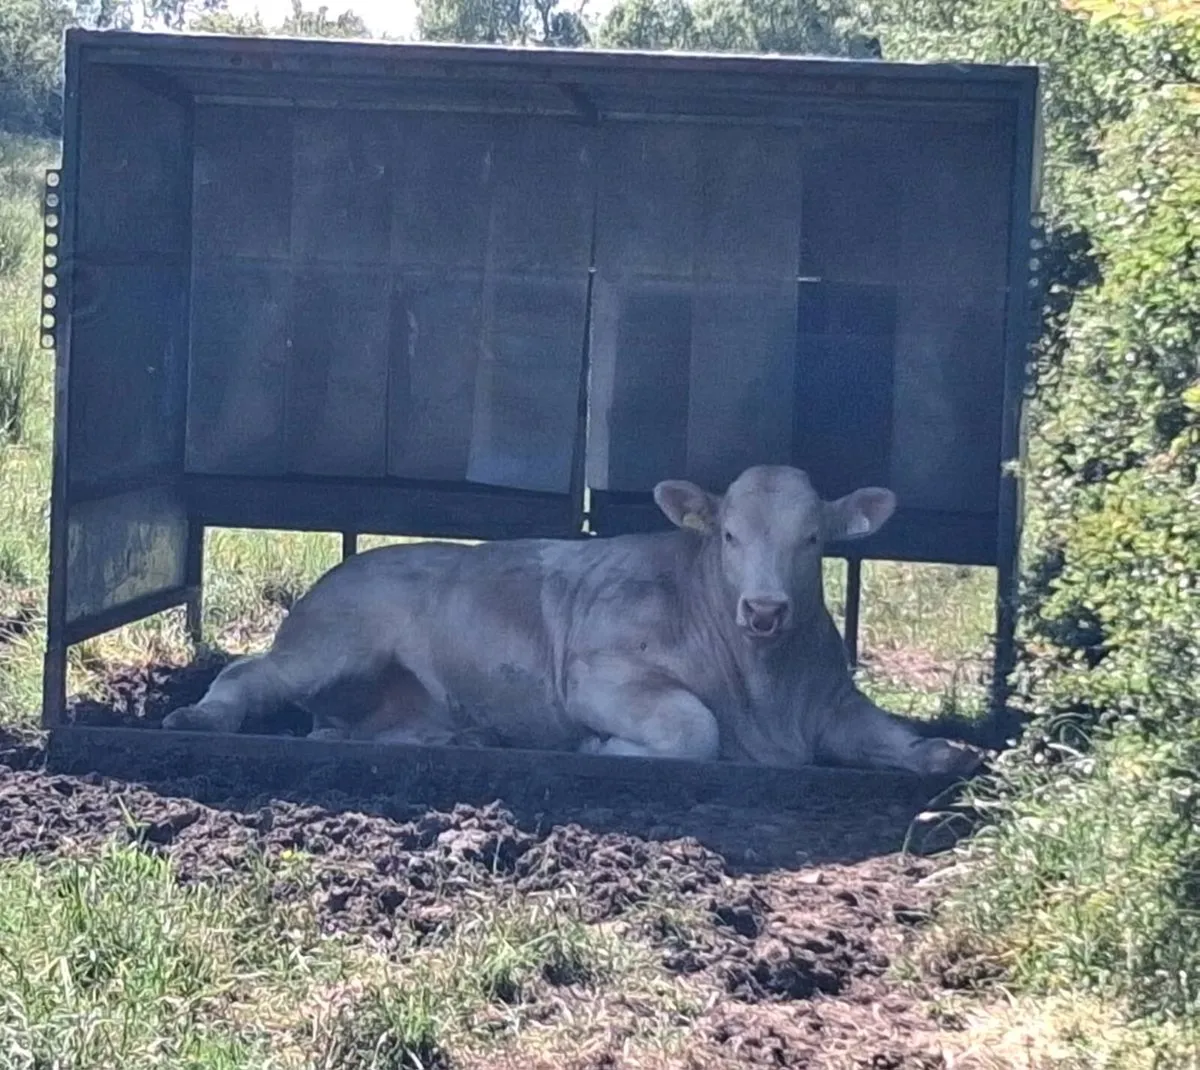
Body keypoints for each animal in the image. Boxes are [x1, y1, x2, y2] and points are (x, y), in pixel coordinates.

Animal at [162, 465, 984, 777]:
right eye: (728, 535)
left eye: (812, 540)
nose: (765, 608)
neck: (769, 693)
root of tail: (337, 574)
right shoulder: (601, 674)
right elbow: (694, 730)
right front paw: (599, 747)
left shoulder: (834, 701)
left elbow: (898, 739)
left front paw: (945, 754)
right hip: (332, 645)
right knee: (248, 674)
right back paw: (197, 719)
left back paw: (458, 737)